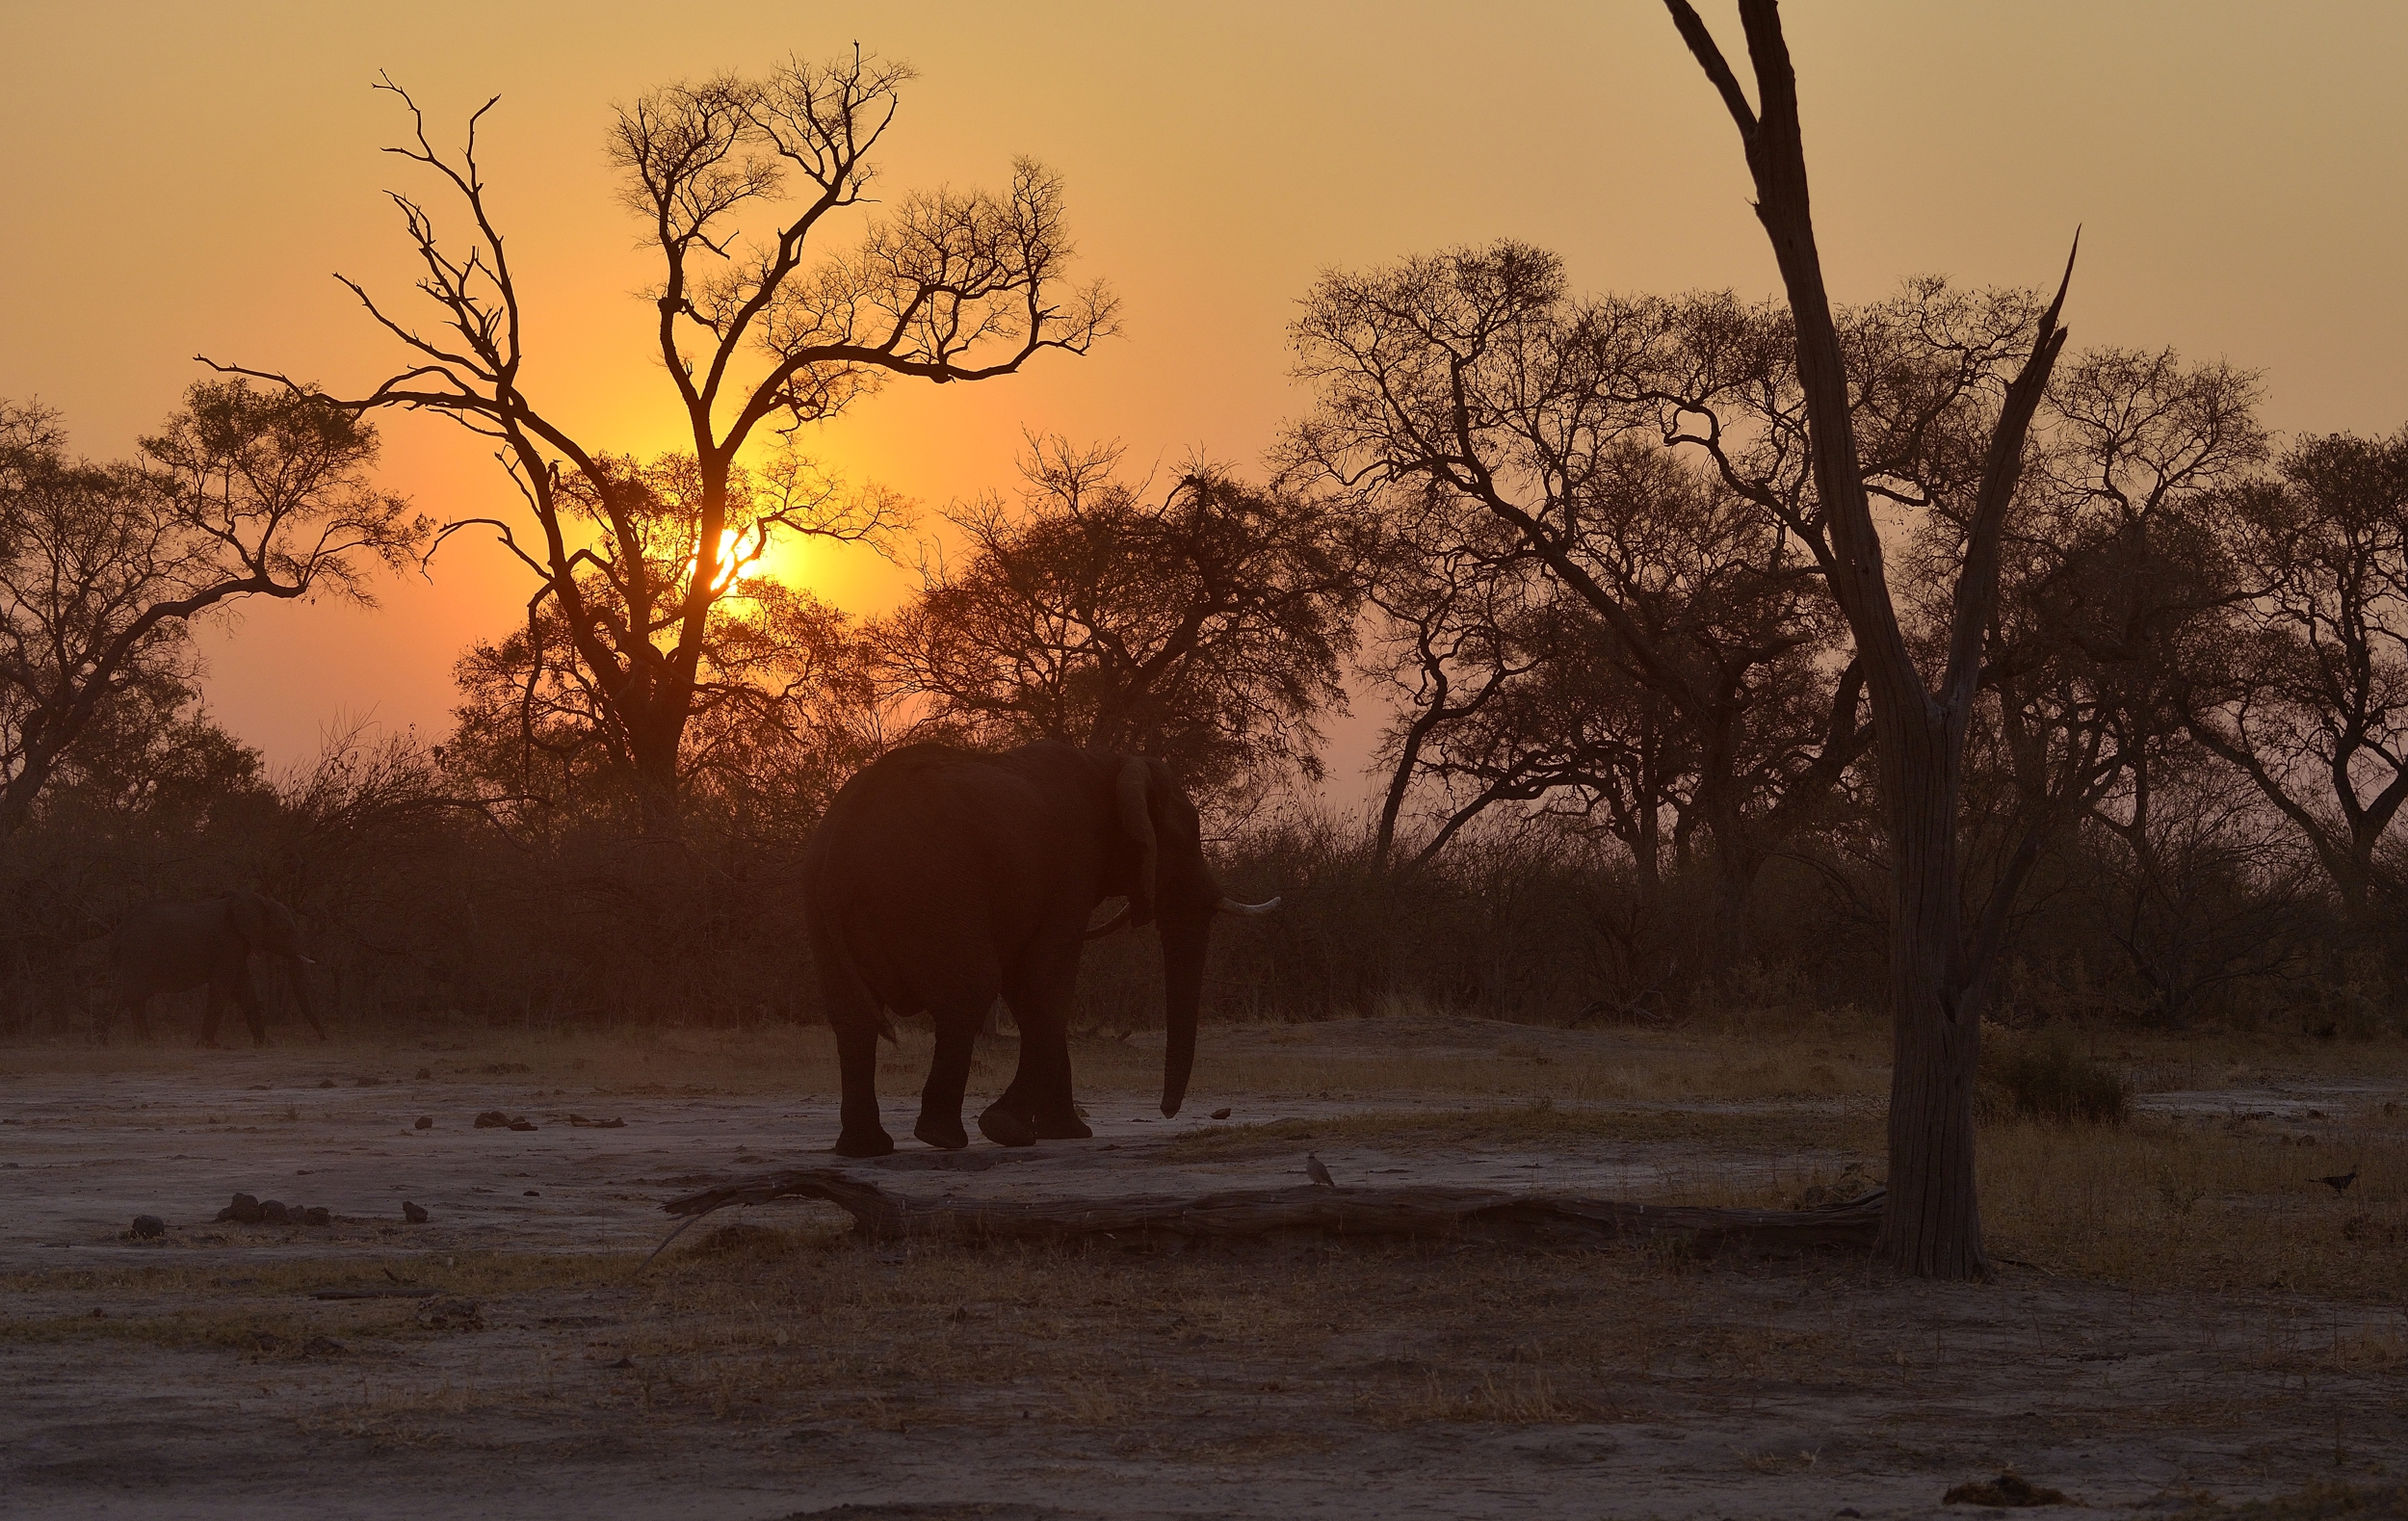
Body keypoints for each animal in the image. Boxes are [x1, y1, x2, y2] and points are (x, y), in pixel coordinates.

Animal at [103, 890, 325, 1047]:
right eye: (286, 929)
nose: (323, 1039)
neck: (258, 901)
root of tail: (118, 932)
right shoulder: (227, 943)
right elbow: (223, 987)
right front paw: (208, 1045)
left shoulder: (238, 947)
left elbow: (244, 989)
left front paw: (266, 1044)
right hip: (138, 954)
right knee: (125, 992)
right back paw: (99, 1041)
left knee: (136, 998)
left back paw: (146, 1043)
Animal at [802, 740, 1277, 1157]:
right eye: (1190, 835)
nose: (1166, 1113)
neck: (1114, 763)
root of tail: (840, 843)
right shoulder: (1072, 868)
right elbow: (1045, 982)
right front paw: (1007, 1130)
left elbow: (1026, 988)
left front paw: (1065, 1133)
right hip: (932, 892)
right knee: (970, 991)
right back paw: (942, 1138)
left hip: (824, 914)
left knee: (853, 1018)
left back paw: (867, 1149)